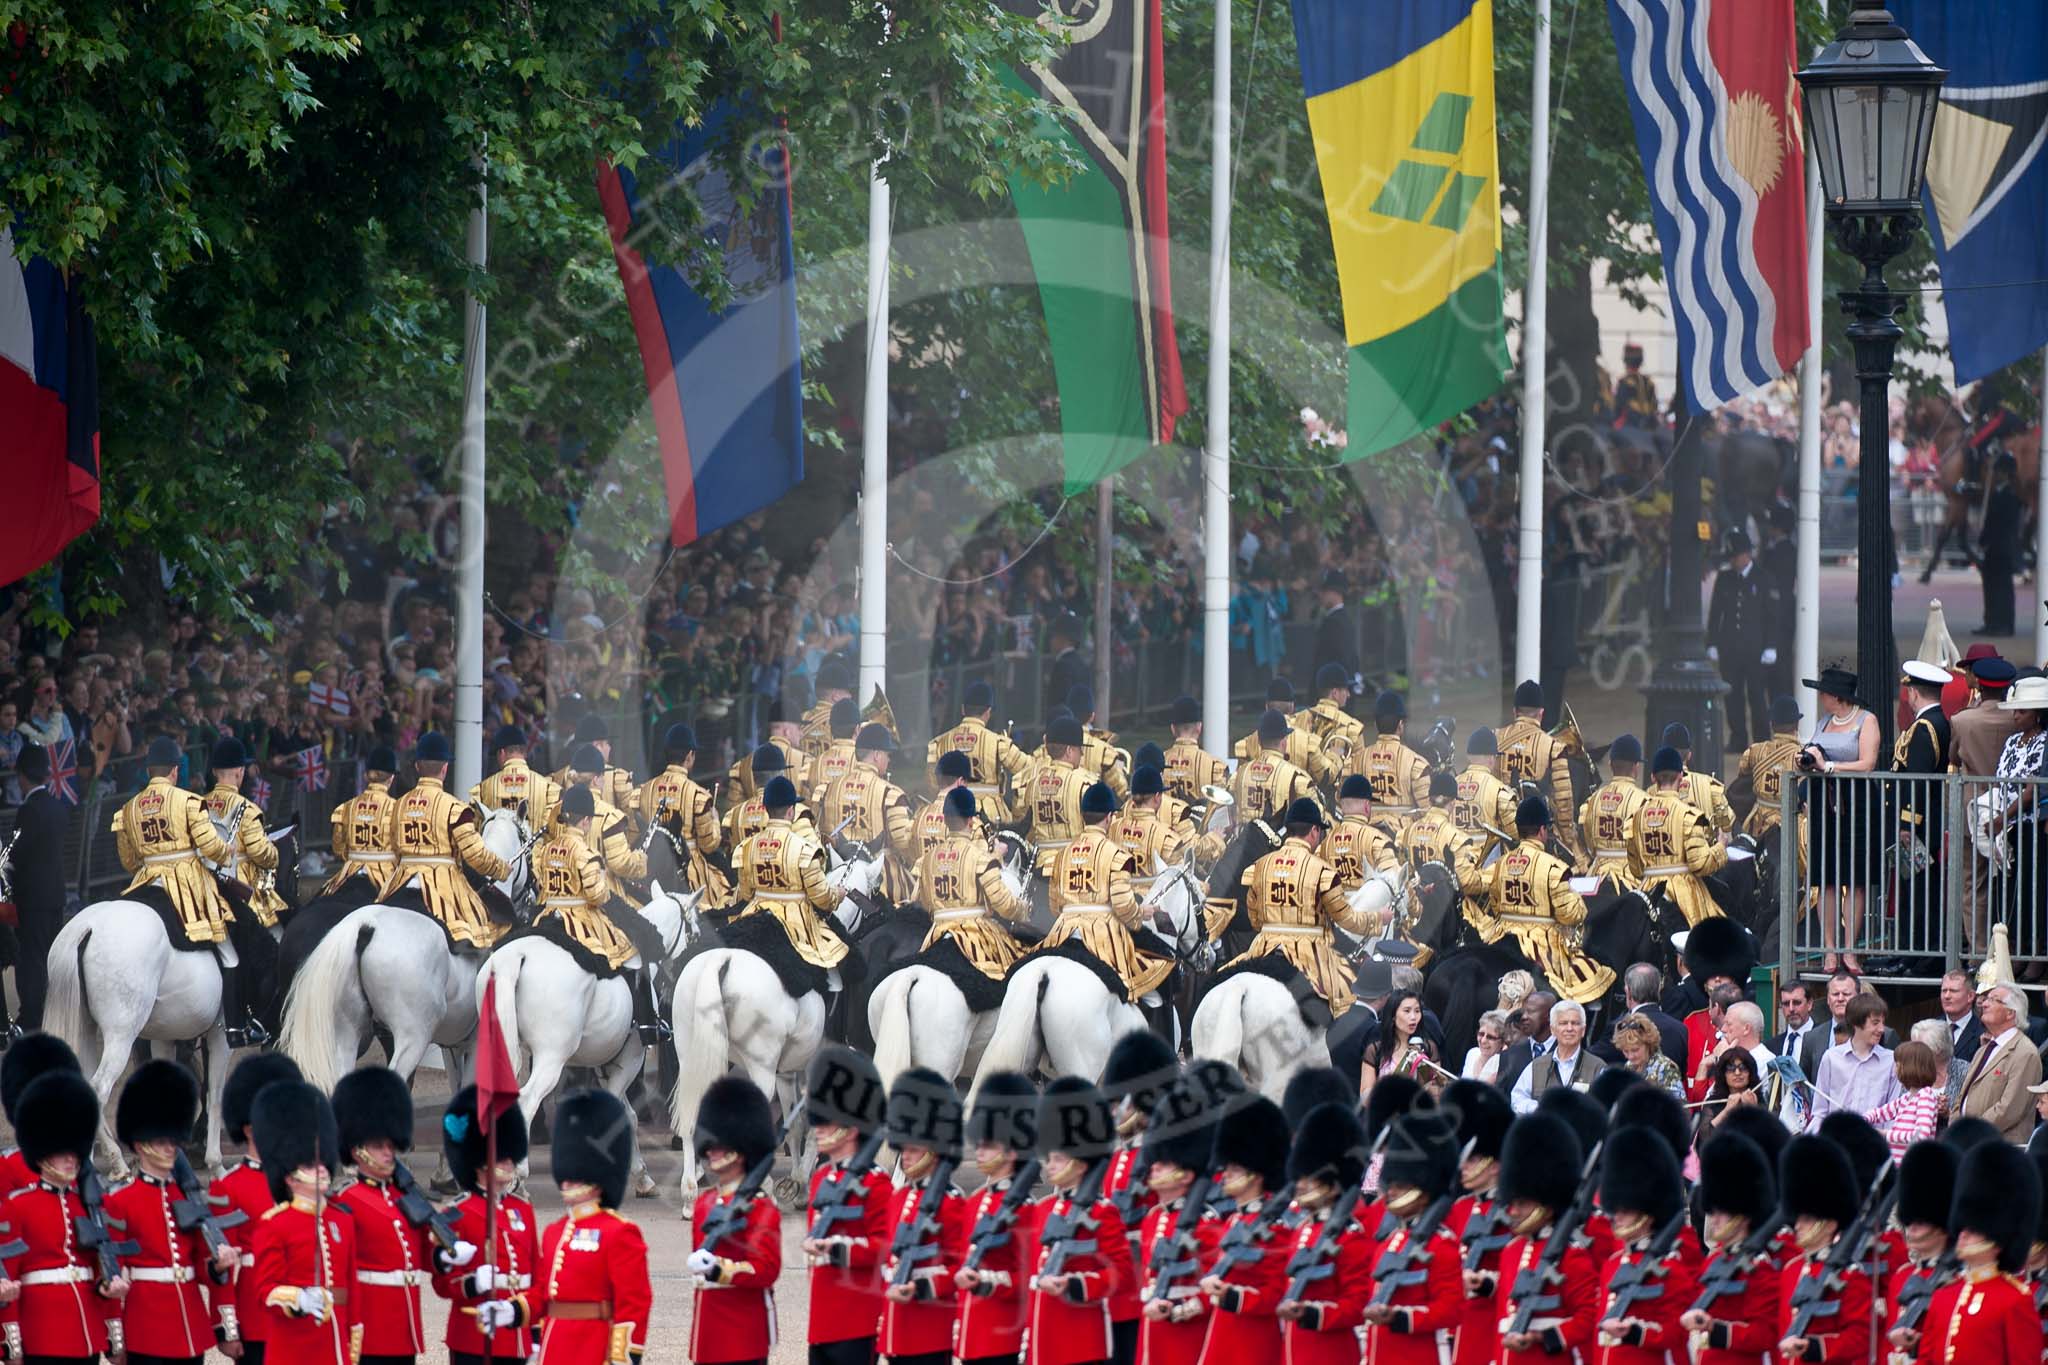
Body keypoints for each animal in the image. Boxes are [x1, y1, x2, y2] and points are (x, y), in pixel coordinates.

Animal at [276, 806, 532, 1105]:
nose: (532, 895)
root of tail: (366, 927)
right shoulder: (477, 1042)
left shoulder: (454, 1045)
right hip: (412, 1037)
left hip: (345, 1033)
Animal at [477, 888, 704, 1195]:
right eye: (695, 931)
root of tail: (516, 955)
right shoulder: (629, 1060)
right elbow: (623, 1114)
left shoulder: (604, 1064)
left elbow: (628, 1114)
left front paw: (641, 1177)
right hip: (552, 1058)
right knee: (528, 1099)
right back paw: (517, 1177)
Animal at [1900, 394, 2031, 589]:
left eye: (1910, 412)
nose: (1905, 441)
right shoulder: (1960, 502)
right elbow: (1952, 537)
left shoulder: (1957, 500)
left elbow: (1952, 538)